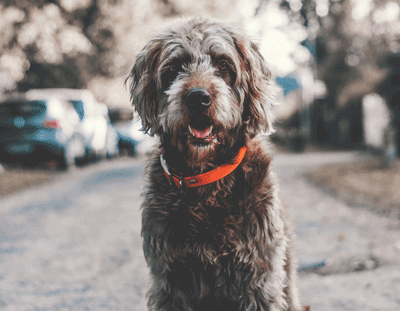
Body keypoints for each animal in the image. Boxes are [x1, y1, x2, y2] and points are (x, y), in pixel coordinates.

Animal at [126, 17, 302, 311]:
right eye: (175, 68)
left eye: (223, 65)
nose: (198, 98)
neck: (206, 179)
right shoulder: (168, 282)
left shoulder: (260, 278)